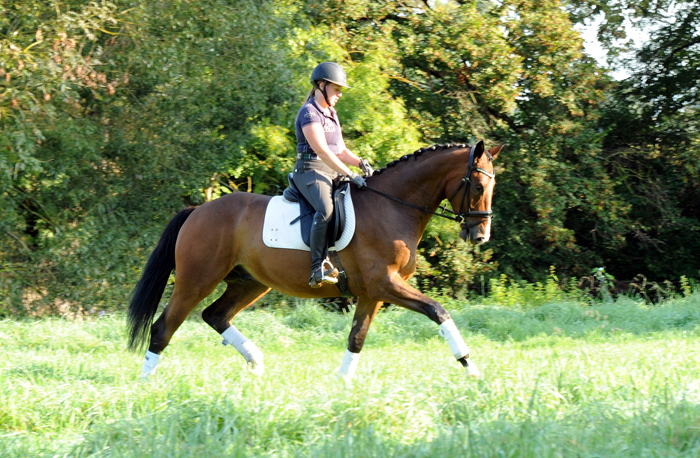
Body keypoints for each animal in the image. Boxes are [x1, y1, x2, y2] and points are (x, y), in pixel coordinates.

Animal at [126, 141, 504, 378]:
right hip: (197, 279)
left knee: (215, 315)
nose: (480, 235)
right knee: (164, 327)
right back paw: (147, 385)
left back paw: (256, 362)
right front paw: (471, 367)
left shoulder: (372, 293)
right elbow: (438, 311)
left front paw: (343, 384)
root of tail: (198, 210)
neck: (392, 206)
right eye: (477, 186)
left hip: (250, 283)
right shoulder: (385, 284)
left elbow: (356, 338)